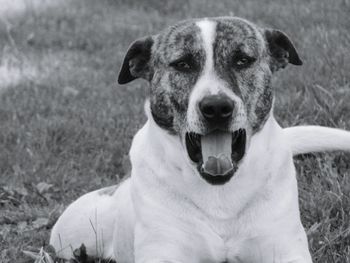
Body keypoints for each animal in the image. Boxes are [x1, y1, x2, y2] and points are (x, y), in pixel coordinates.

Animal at [49, 17, 350, 263]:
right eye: (182, 64)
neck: (220, 194)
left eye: (243, 60)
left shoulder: (285, 248)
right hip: (73, 230)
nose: (216, 107)